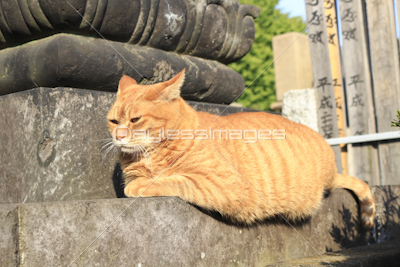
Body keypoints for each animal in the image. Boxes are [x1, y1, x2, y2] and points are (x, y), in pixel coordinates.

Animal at [107, 70, 376, 229]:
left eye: (135, 120)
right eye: (113, 121)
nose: (118, 136)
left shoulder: (220, 183)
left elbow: (173, 180)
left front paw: (139, 186)